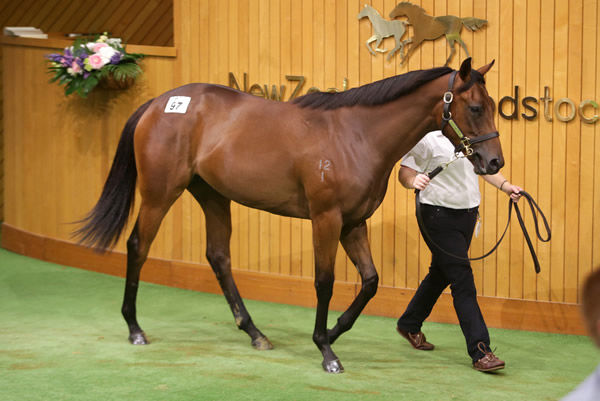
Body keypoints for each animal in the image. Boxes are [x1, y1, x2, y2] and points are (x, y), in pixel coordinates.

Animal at [77, 58, 504, 372]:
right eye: (475, 107)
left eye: (493, 106)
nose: (494, 162)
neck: (357, 135)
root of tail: (158, 103)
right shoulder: (326, 219)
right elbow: (324, 282)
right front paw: (326, 351)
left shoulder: (353, 223)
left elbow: (369, 282)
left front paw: (332, 332)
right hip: (159, 193)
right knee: (138, 246)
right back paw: (134, 328)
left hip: (213, 196)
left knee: (218, 257)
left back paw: (254, 332)